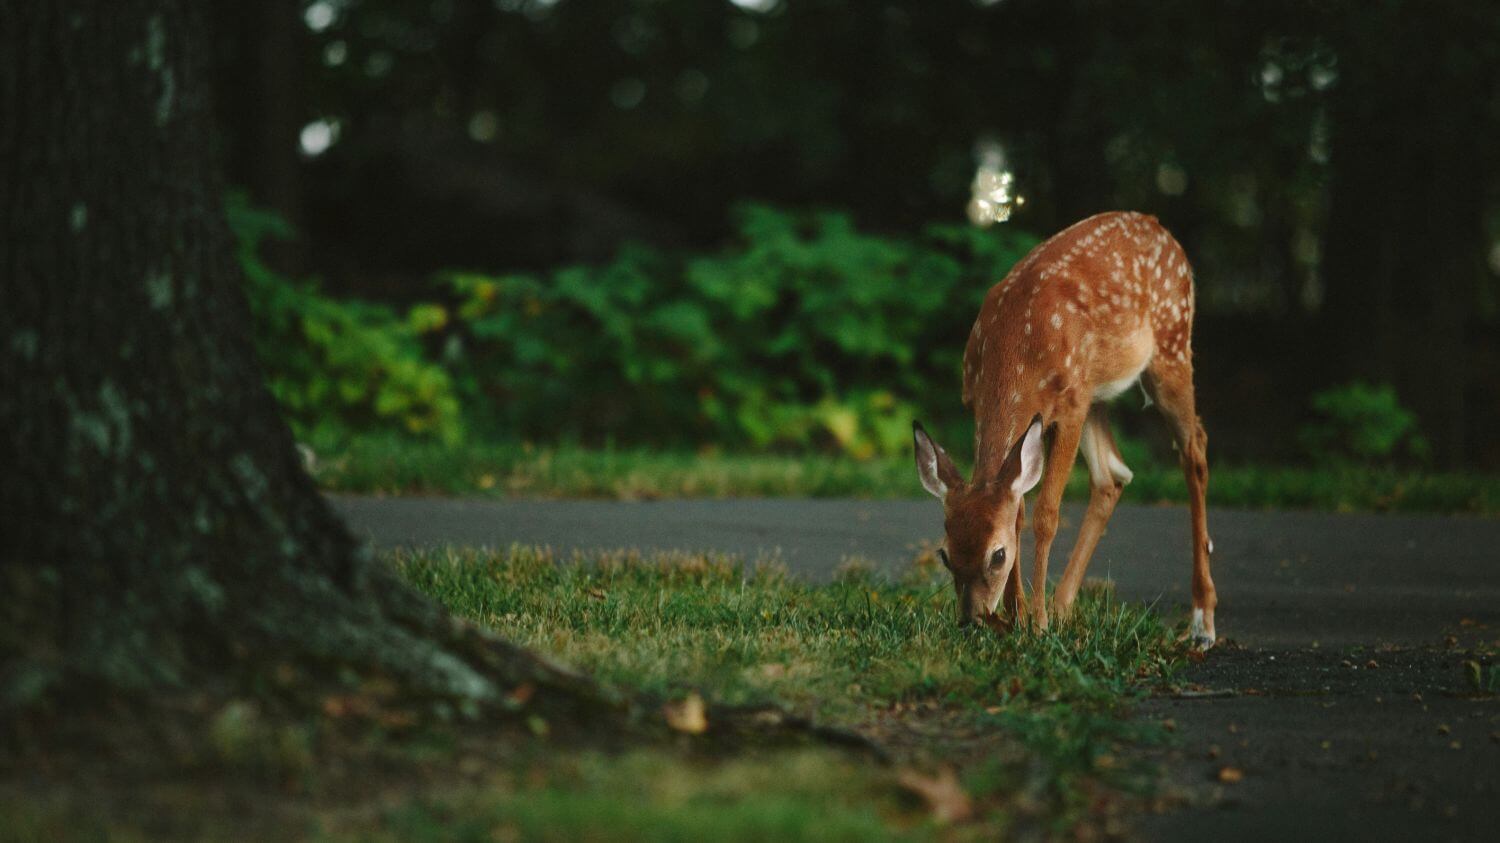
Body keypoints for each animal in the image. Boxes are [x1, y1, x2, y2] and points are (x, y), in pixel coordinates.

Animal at [912, 211, 1217, 649]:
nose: (972, 621)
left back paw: (1202, 622)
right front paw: (1018, 617)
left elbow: (1045, 514)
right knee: (1113, 475)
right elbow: (1018, 508)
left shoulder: (1070, 407)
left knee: (1194, 449)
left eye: (997, 555)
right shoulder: (982, 404)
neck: (1016, 350)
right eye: (945, 554)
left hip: (1170, 346)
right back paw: (1062, 608)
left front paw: (1035, 623)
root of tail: (1159, 227)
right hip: (1097, 392)